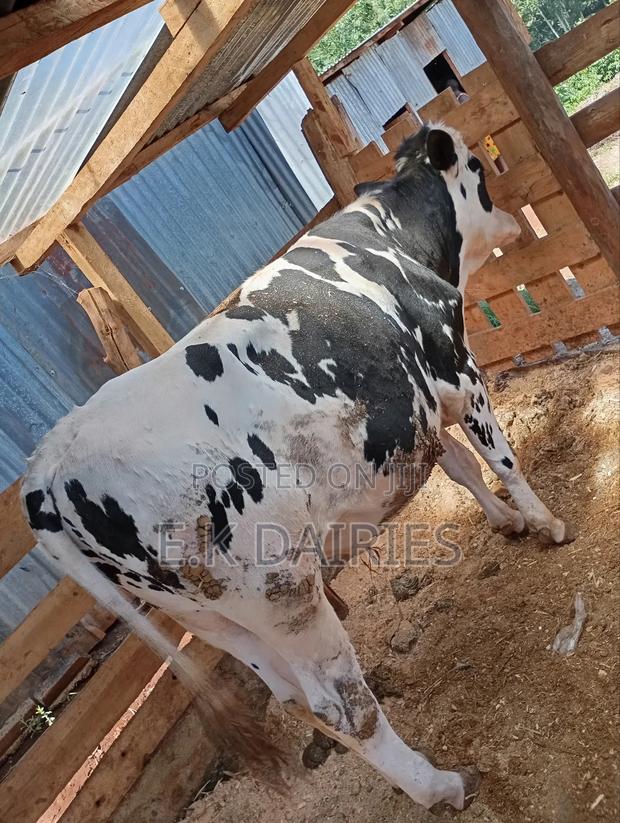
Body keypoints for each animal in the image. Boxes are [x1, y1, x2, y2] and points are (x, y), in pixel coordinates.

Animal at [21, 125, 574, 812]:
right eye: (476, 167)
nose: (510, 213)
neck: (386, 235)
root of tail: (48, 466)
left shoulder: (404, 410)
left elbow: (459, 466)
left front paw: (505, 521)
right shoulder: (456, 369)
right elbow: (500, 457)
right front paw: (546, 522)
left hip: (209, 617)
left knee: (290, 694)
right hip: (283, 591)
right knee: (341, 707)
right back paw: (440, 785)